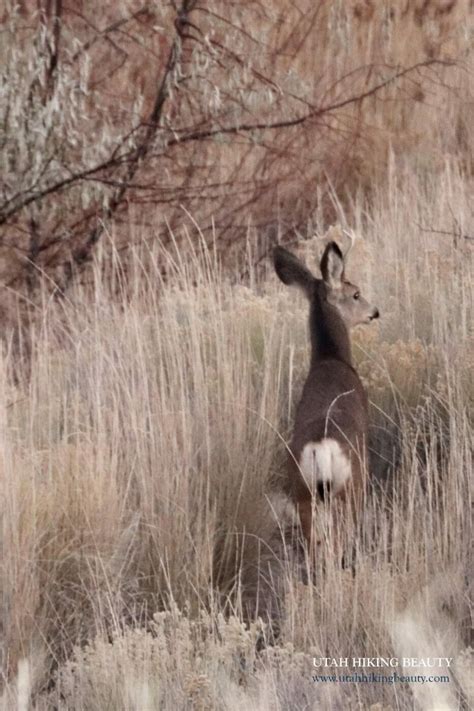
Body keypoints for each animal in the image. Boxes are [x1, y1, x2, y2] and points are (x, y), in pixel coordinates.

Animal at [272, 242, 380, 552]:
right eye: (355, 293)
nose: (374, 312)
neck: (331, 358)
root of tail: (322, 450)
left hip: (302, 491)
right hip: (351, 488)